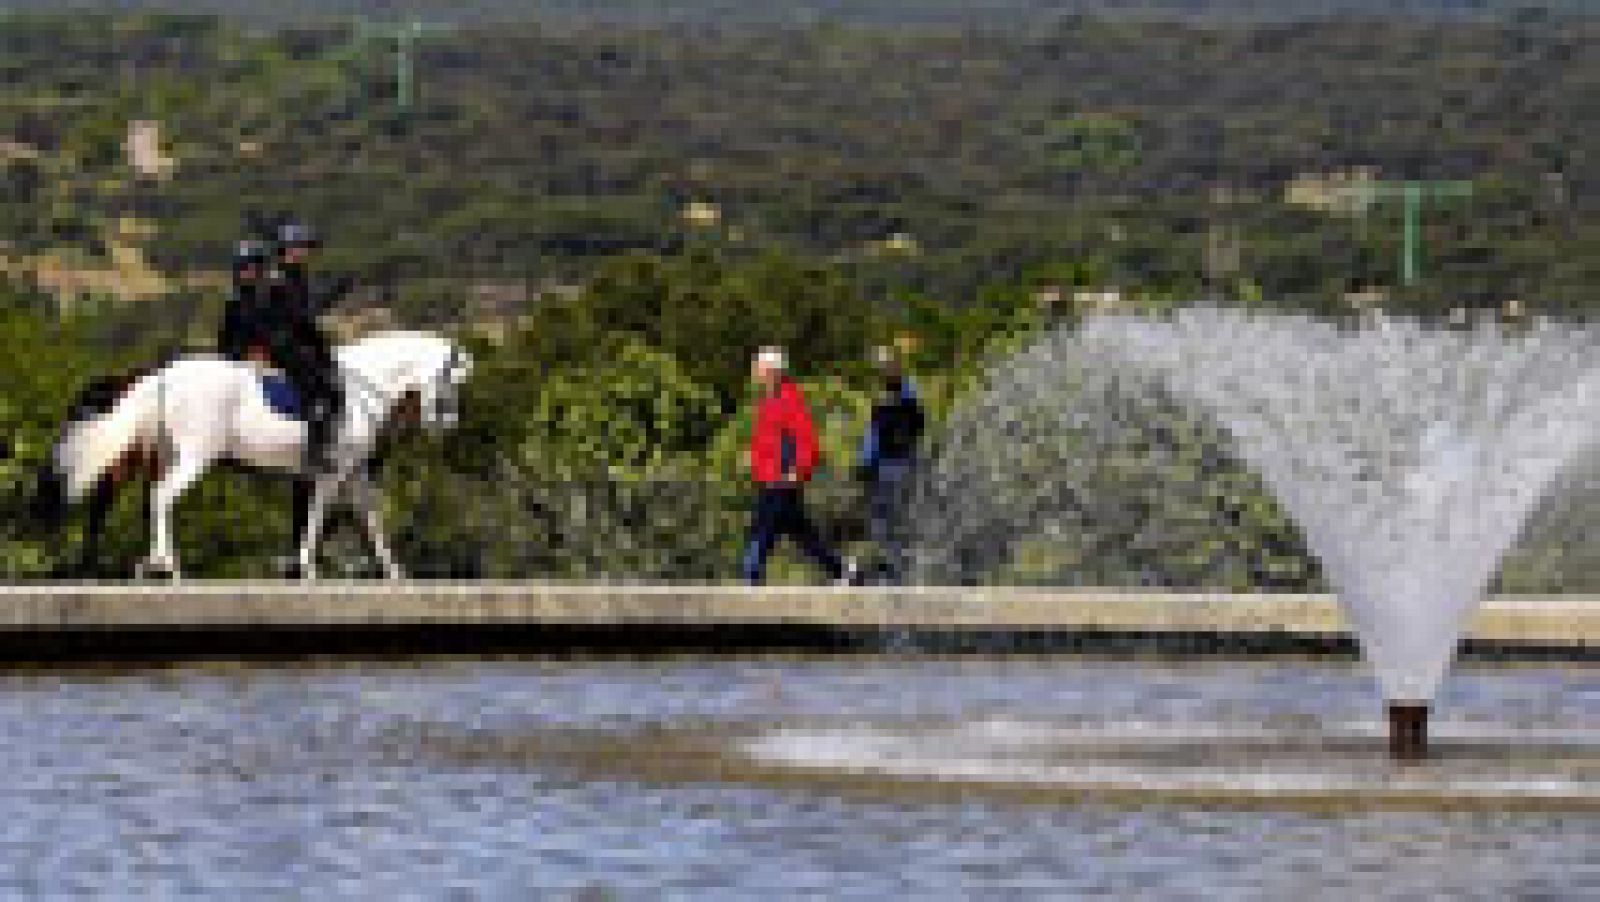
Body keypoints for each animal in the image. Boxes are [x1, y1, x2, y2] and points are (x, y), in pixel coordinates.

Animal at [50, 329, 470, 578]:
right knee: (159, 497)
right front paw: (305, 566)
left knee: (147, 501)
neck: (364, 389)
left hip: (166, 455)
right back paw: (166, 564)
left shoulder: (354, 473)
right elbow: (317, 516)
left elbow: (370, 518)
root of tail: (162, 375)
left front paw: (393, 570)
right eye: (451, 385)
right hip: (194, 457)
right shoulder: (331, 473)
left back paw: (148, 562)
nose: (447, 427)